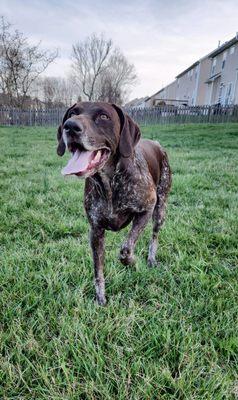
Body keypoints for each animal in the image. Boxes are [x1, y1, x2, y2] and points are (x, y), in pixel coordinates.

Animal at [56, 101, 172, 304]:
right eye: (72, 113)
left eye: (104, 117)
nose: (70, 126)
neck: (109, 182)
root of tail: (157, 144)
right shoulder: (96, 231)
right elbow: (98, 271)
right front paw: (100, 299)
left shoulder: (146, 210)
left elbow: (126, 249)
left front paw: (132, 262)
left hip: (160, 210)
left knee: (154, 237)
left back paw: (150, 259)